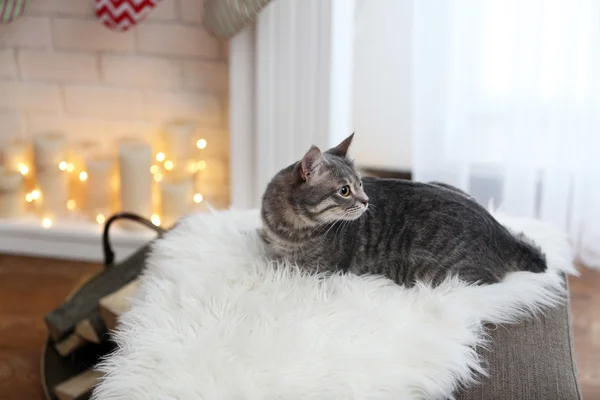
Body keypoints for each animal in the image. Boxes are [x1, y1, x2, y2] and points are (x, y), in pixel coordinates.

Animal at [260, 133, 548, 286]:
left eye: (360, 183)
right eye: (344, 190)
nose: (366, 201)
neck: (287, 227)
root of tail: (507, 236)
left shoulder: (315, 271)